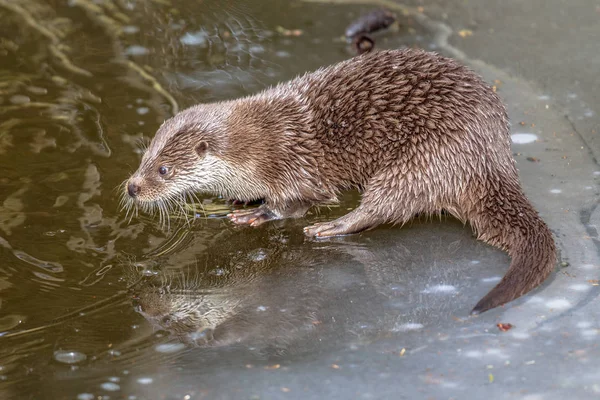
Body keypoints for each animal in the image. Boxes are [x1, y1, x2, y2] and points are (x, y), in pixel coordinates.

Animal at [125, 48, 556, 314]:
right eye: (144, 157)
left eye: (163, 170)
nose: (132, 186)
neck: (255, 148)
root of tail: (492, 154)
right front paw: (238, 202)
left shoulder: (293, 166)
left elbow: (297, 201)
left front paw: (260, 213)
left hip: (423, 158)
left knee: (386, 205)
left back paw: (331, 228)